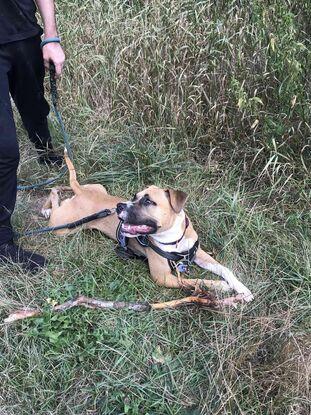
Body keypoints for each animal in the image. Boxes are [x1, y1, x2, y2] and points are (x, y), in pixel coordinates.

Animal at [41, 153, 255, 302]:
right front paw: (221, 286)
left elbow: (225, 269)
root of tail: (81, 192)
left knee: (63, 188)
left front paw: (242, 289)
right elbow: (194, 280)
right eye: (134, 196)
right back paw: (47, 209)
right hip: (62, 227)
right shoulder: (164, 277)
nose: (119, 206)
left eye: (148, 201)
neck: (173, 238)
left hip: (97, 187)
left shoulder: (198, 253)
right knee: (53, 196)